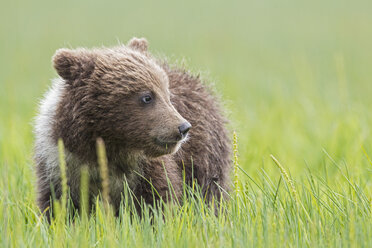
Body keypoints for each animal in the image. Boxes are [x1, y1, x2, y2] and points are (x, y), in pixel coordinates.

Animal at [35, 37, 232, 218]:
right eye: (147, 97)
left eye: (167, 95)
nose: (183, 127)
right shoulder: (60, 163)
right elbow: (58, 205)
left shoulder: (145, 171)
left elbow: (157, 201)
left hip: (205, 155)